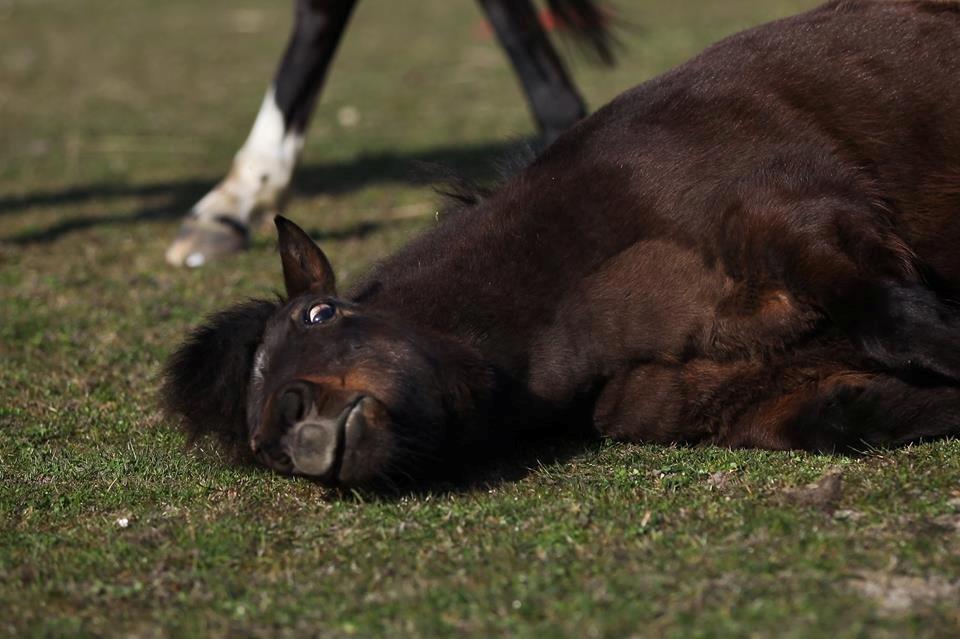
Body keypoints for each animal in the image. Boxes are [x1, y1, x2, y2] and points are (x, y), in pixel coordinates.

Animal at [163, 0, 960, 488]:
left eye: (320, 313)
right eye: (262, 449)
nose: (287, 418)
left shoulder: (806, 224)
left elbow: (900, 322)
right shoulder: (765, 398)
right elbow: (877, 411)